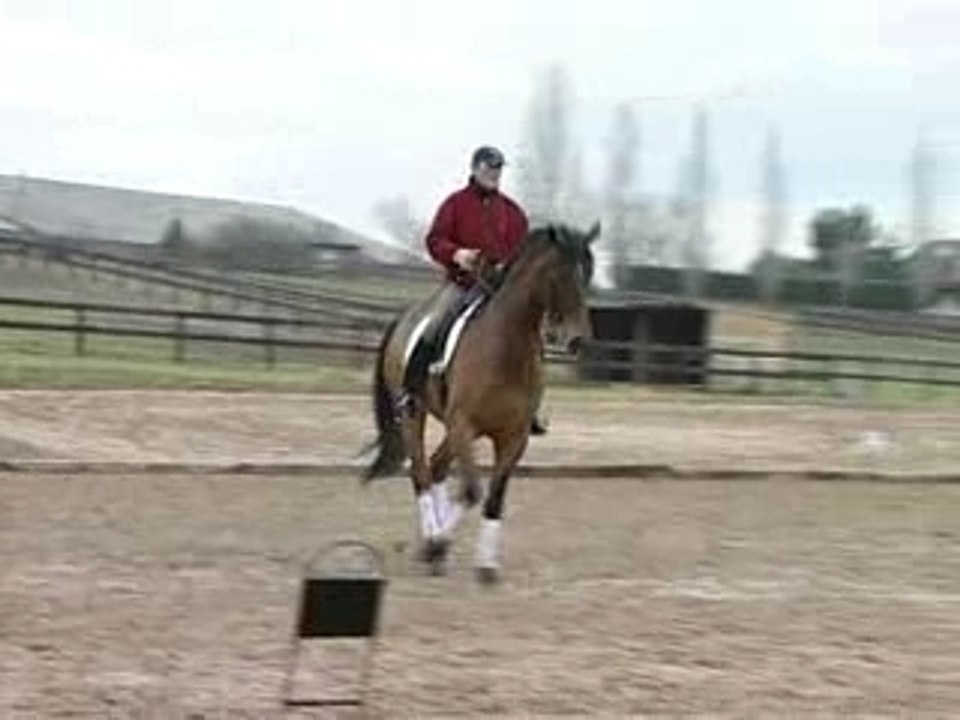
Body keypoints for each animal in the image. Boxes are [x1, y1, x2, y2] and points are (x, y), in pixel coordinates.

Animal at [360, 221, 600, 582]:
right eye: (559, 275)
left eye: (588, 275)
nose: (578, 340)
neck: (507, 347)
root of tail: (405, 318)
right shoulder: (464, 425)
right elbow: (473, 491)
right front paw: (439, 544)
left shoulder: (514, 437)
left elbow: (494, 497)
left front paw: (485, 565)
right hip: (415, 415)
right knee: (422, 471)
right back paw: (432, 541)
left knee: (436, 466)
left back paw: (432, 549)